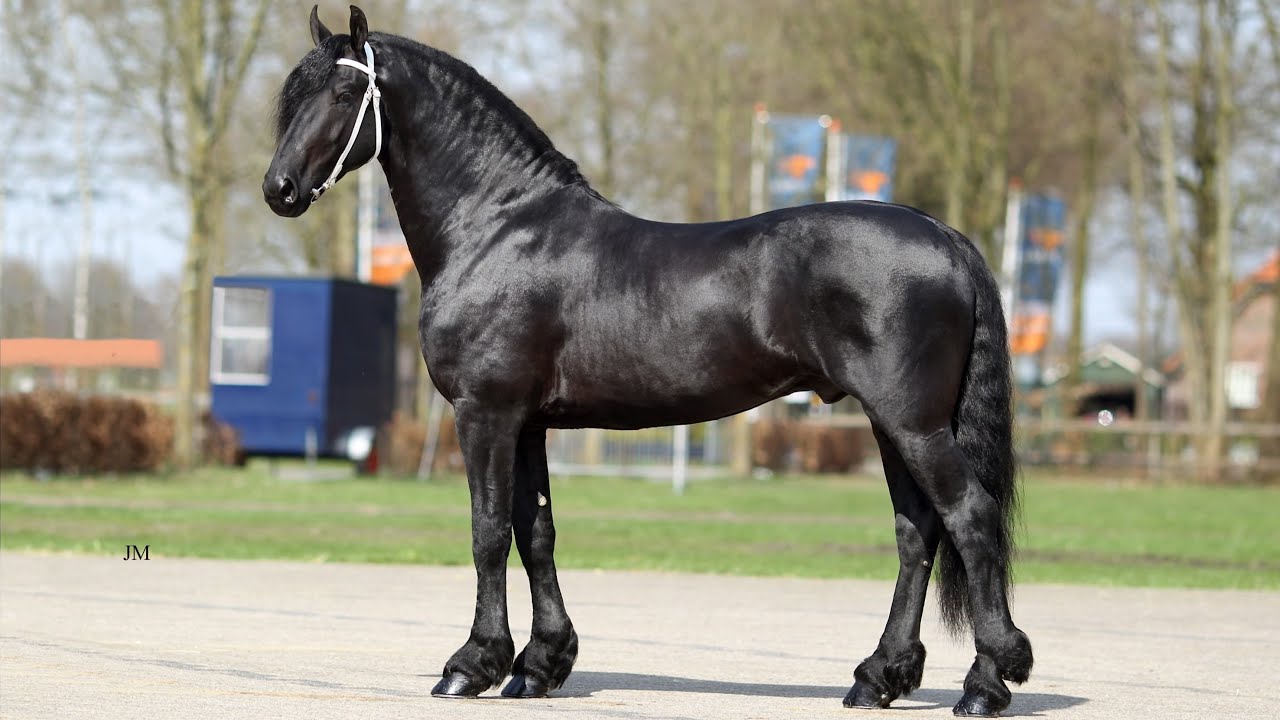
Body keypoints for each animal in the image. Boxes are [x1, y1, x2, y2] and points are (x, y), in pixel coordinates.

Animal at [264, 6, 1033, 716]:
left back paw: (986, 682)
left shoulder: (486, 414)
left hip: (912, 422)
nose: (280, 189)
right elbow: (535, 532)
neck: (499, 227)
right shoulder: (529, 423)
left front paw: (472, 664)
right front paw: (540, 665)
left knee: (968, 516)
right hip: (890, 423)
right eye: (292, 94)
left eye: (343, 93)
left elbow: (487, 533)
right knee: (917, 531)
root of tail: (944, 236)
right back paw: (879, 676)